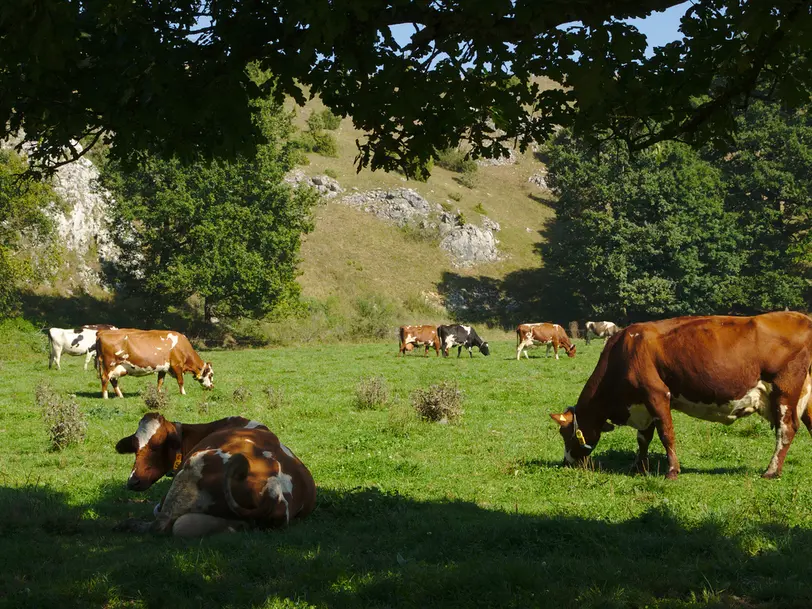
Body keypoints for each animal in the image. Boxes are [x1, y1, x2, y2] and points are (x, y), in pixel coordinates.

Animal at [115, 410, 318, 536]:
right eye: (134, 447)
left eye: (157, 446)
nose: (133, 481)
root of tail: (274, 494)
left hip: (194, 466)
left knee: (160, 525)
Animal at [552, 314, 812, 480]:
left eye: (566, 434)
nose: (566, 463)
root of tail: (800, 317)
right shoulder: (642, 403)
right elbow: (643, 438)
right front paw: (638, 467)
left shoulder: (656, 394)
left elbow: (666, 434)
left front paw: (672, 471)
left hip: (784, 391)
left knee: (786, 429)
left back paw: (771, 471)